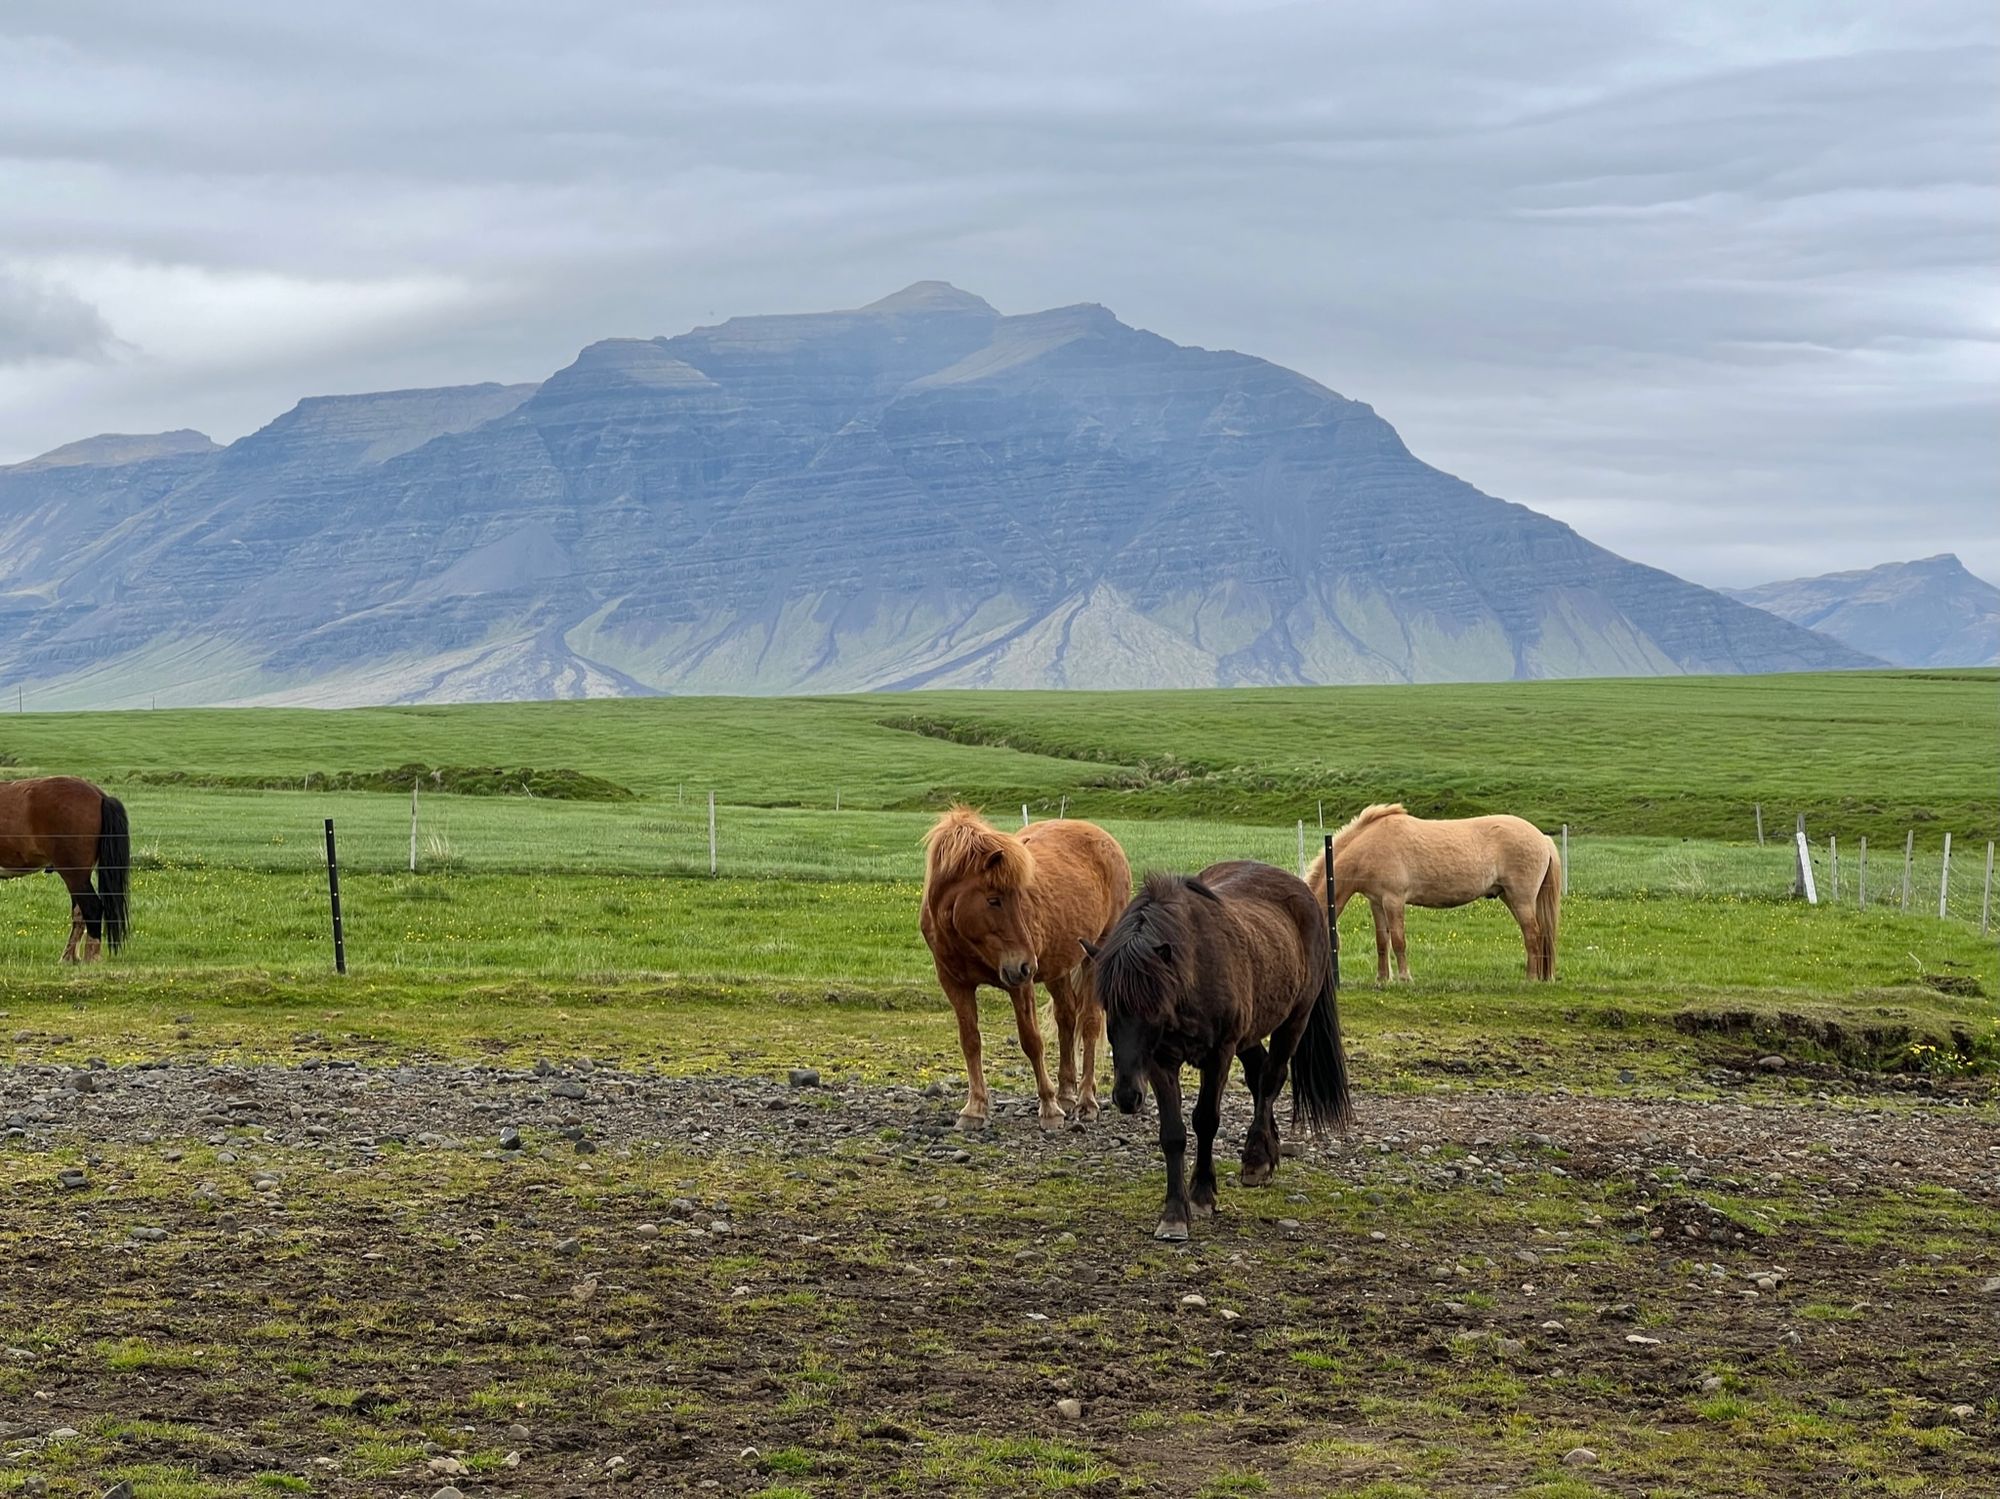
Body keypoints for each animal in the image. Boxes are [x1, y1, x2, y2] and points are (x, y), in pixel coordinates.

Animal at [0, 775, 132, 963]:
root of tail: (99, 795)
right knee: (80, 913)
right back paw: (68, 958)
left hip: (74, 874)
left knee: (92, 907)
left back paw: (90, 958)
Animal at [916, 803, 1128, 1135]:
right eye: (994, 900)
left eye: (1020, 896)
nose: (1027, 964)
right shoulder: (954, 983)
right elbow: (970, 1041)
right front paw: (975, 1109)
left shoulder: (1019, 984)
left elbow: (1031, 1041)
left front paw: (1049, 1108)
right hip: (1058, 967)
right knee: (1067, 1019)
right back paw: (1067, 1094)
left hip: (1094, 956)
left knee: (1090, 1024)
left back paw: (1085, 1102)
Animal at [1088, 867, 1352, 1247]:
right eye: (1110, 1011)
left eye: (1152, 1011)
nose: (1127, 1096)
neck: (1194, 971)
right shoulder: (1160, 1061)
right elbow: (1173, 1133)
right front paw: (1174, 1214)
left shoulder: (1219, 1054)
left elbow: (1205, 1121)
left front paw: (1201, 1195)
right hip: (1251, 1032)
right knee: (1258, 1074)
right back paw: (1268, 1152)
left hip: (1294, 1020)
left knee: (1271, 1079)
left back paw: (1256, 1158)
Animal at [1312, 799, 1560, 987]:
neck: (1369, 845)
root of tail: (1543, 838)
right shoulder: (1377, 902)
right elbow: (1382, 941)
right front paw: (1382, 979)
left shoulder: (1393, 900)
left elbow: (1398, 940)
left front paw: (1405, 978)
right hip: (1510, 897)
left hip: (1521, 899)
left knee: (1532, 934)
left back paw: (1530, 979)